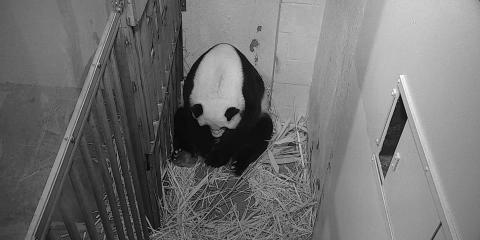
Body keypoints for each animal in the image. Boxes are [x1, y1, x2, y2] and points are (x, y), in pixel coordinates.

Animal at [172, 42, 272, 174]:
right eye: (207, 126)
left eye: (224, 127)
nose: (216, 135)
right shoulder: (191, 88)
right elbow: (192, 121)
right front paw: (207, 148)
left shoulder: (248, 89)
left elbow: (244, 126)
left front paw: (216, 158)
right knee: (180, 119)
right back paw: (183, 155)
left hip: (262, 115)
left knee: (261, 133)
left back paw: (237, 165)